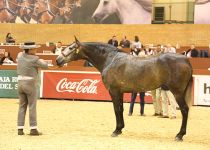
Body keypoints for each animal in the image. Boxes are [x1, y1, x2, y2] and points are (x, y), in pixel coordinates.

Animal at [55, 37, 192, 142]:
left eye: (71, 48)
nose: (58, 60)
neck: (110, 59)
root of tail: (185, 59)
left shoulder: (114, 91)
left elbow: (116, 110)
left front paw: (116, 130)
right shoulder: (120, 92)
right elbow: (121, 109)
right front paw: (120, 129)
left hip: (177, 92)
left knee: (185, 110)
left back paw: (180, 135)